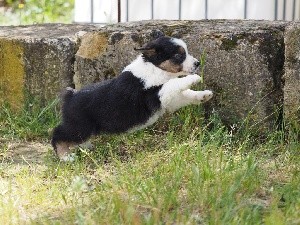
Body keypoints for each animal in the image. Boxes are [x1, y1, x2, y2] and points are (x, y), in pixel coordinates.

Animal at [50, 36, 212, 160]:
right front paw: (195, 78)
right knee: (57, 134)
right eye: (179, 56)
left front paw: (204, 95)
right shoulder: (155, 95)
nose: (198, 63)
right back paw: (65, 157)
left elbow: (185, 94)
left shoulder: (168, 100)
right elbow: (174, 83)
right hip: (79, 126)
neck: (155, 68)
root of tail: (71, 95)